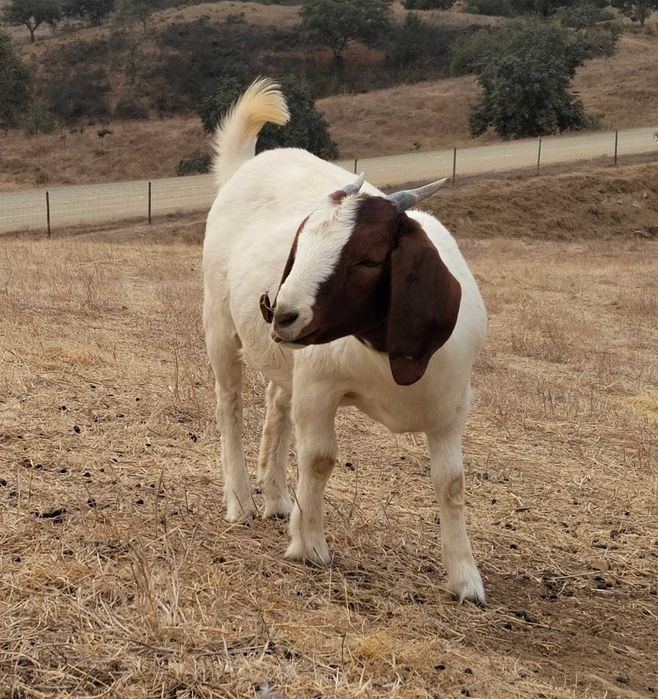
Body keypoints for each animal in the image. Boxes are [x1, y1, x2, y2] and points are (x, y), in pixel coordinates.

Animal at [203, 79, 488, 605]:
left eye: (369, 259)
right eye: (301, 243)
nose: (281, 312)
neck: (384, 355)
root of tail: (245, 166)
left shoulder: (451, 406)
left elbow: (452, 483)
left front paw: (465, 579)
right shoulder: (319, 385)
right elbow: (319, 459)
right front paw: (309, 545)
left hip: (284, 360)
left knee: (276, 402)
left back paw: (276, 495)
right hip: (218, 319)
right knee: (229, 402)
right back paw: (242, 501)